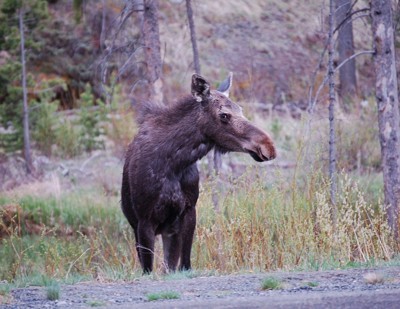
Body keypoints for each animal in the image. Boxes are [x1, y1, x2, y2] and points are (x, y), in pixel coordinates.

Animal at [122, 73, 276, 272]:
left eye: (240, 109)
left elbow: (185, 264)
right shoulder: (144, 220)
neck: (173, 164)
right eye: (224, 115)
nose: (268, 146)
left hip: (168, 231)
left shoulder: (188, 212)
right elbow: (148, 269)